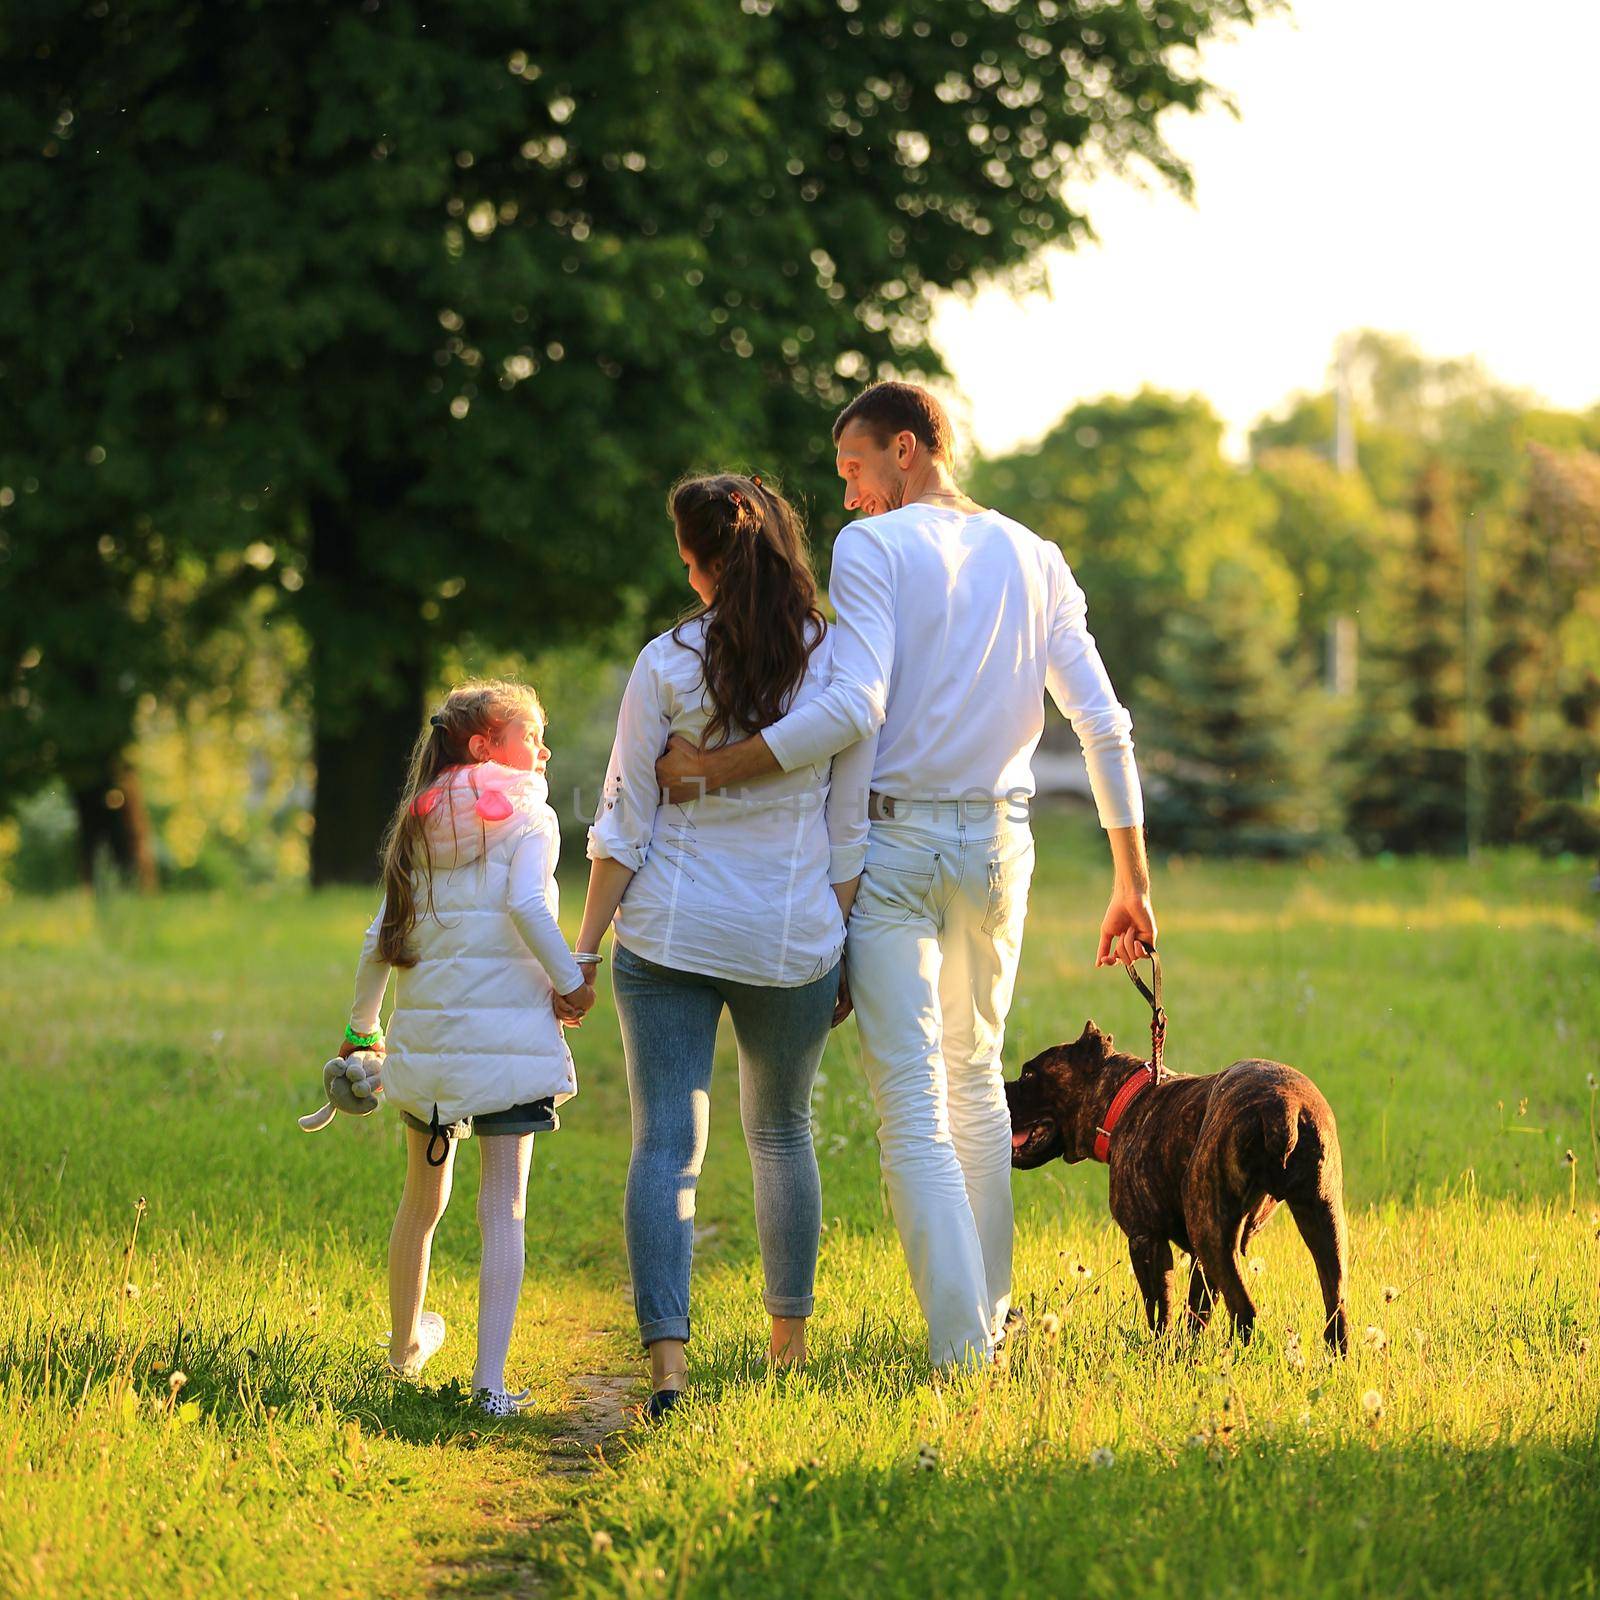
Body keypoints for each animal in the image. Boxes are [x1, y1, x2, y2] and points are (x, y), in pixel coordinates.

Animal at [1011, 1024, 1350, 1350]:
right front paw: (1187, 1352)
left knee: (1244, 1310)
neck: (1123, 1098)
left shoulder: (1147, 1240)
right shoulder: (1200, 1261)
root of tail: (1283, 1107)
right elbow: (1197, 1312)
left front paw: (1160, 1352)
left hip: (1212, 1236)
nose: (1003, 1089)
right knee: (1336, 1309)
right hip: (1323, 1223)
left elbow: (1160, 1311)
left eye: (1029, 1074)